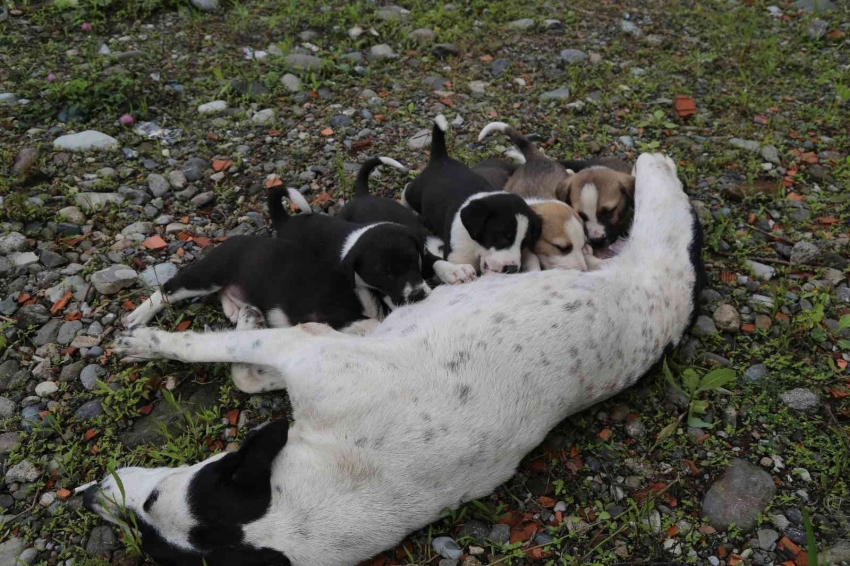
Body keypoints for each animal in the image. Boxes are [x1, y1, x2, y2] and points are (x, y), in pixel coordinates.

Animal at [400, 115, 540, 276]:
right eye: (501, 236)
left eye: (524, 243)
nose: (511, 269)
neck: (474, 244)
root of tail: (441, 158)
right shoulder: (457, 257)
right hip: (416, 195)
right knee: (407, 189)